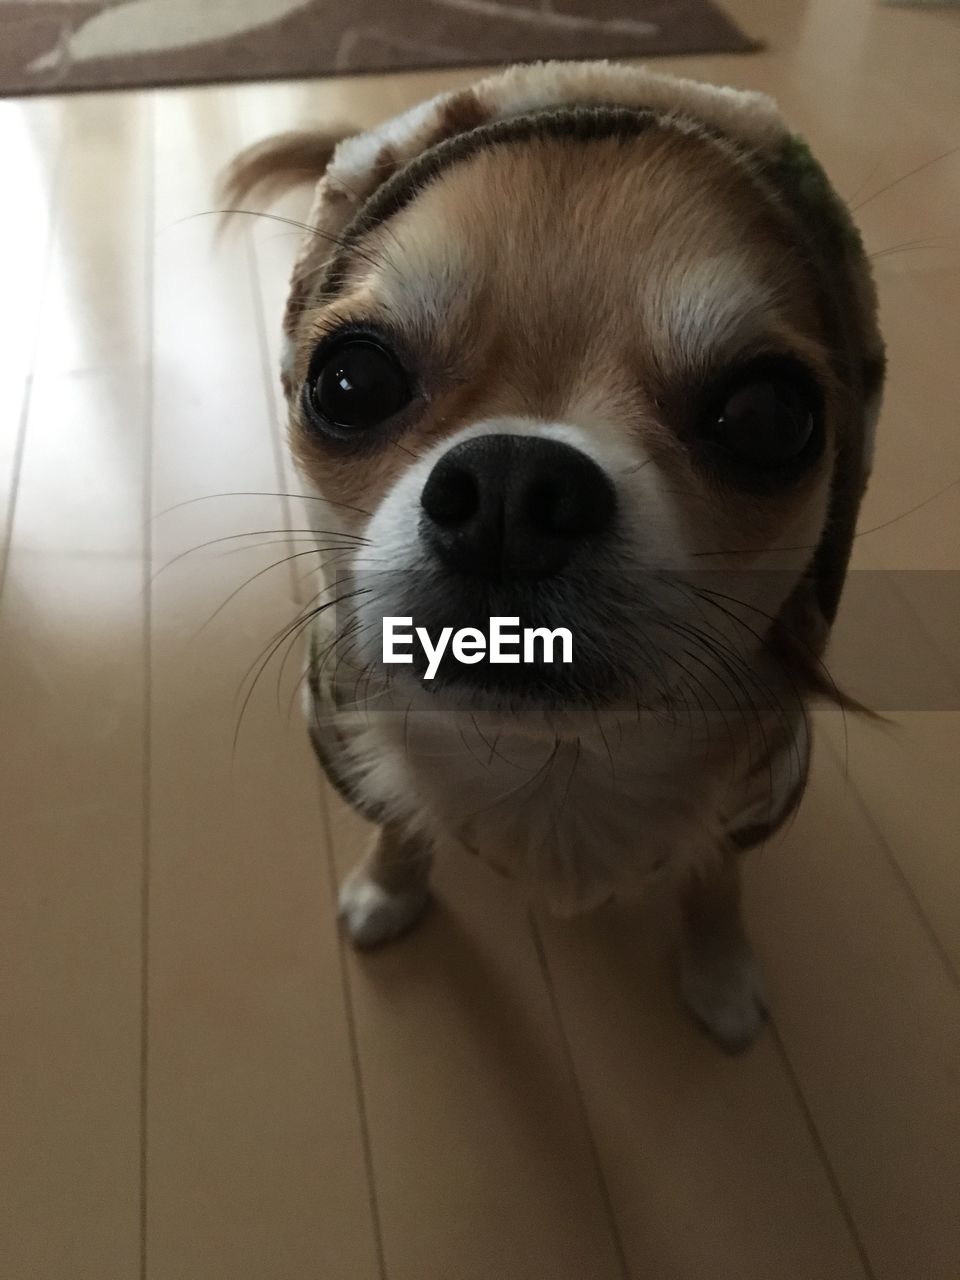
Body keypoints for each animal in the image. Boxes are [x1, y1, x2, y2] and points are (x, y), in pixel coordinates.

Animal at [221, 60, 885, 1049]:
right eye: (348, 381)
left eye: (769, 416)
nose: (512, 488)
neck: (553, 769)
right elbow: (401, 816)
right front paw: (388, 885)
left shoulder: (755, 798)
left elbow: (713, 876)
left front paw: (721, 970)